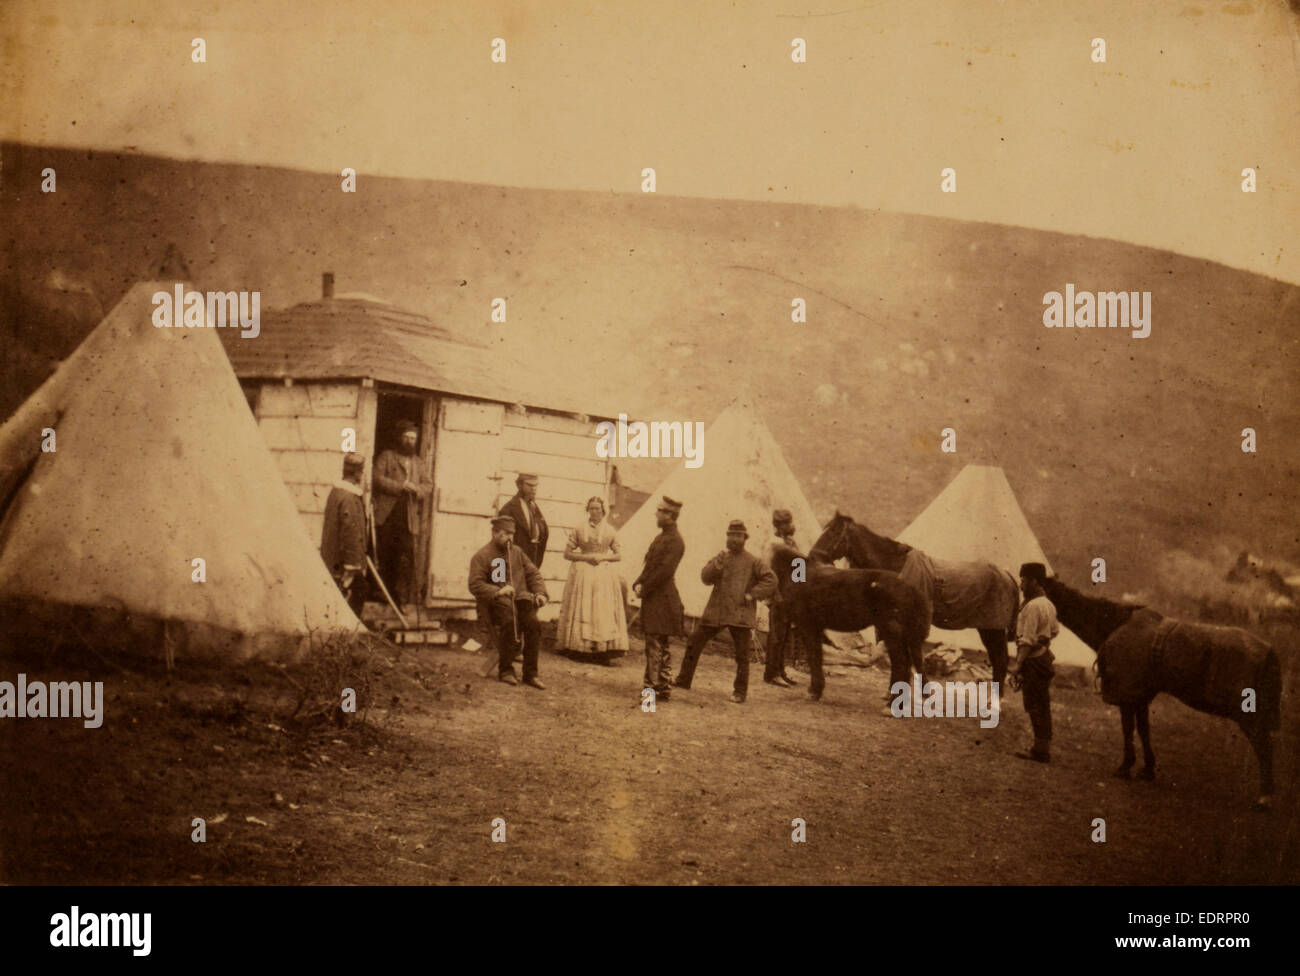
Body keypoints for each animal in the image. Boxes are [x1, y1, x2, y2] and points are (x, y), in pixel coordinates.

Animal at [764, 551, 930, 701]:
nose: (768, 602)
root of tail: (911, 588)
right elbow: (812, 654)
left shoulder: (806, 624)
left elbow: (811, 655)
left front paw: (814, 691)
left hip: (892, 632)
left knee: (901, 663)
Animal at [811, 512, 1013, 686]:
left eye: (834, 532)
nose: (813, 556)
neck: (895, 567)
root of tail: (1007, 576)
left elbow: (910, 659)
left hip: (992, 628)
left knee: (1001, 660)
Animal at [1040, 579, 1284, 810]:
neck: (1117, 624)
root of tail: (1269, 651)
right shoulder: (1139, 696)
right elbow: (1143, 730)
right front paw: (1147, 770)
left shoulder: (1126, 696)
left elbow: (1128, 729)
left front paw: (1125, 767)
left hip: (1249, 716)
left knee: (1264, 747)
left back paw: (1265, 798)